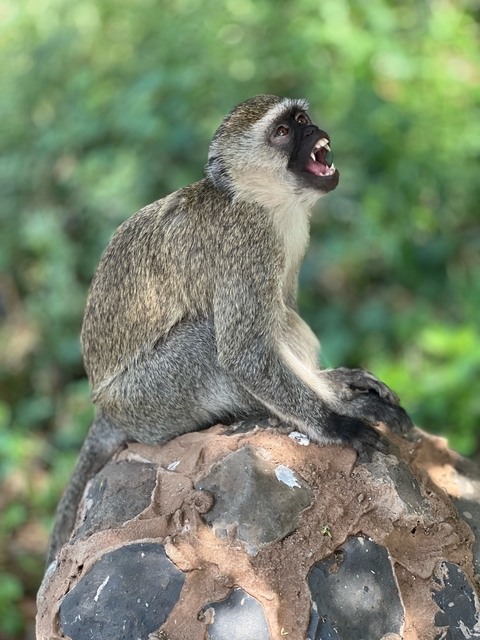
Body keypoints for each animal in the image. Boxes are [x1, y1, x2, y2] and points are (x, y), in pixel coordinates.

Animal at [46, 95, 412, 566]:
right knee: (210, 340)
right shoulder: (250, 244)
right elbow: (243, 353)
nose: (314, 132)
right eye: (282, 133)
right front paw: (337, 421)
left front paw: (336, 385)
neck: (261, 200)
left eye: (302, 119)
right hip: (149, 399)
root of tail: (105, 410)